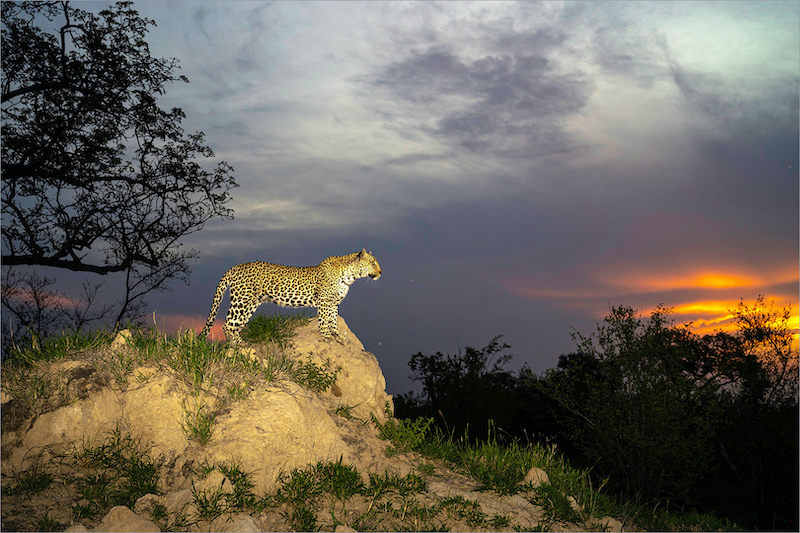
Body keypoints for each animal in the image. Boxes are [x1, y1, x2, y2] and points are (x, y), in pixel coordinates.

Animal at [199, 249, 381, 345]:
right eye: (373, 262)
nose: (381, 272)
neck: (349, 278)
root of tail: (235, 266)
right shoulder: (324, 302)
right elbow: (324, 321)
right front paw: (327, 337)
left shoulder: (333, 304)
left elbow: (334, 321)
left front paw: (338, 337)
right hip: (241, 301)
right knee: (228, 324)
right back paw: (238, 345)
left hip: (250, 304)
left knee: (235, 325)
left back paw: (239, 343)